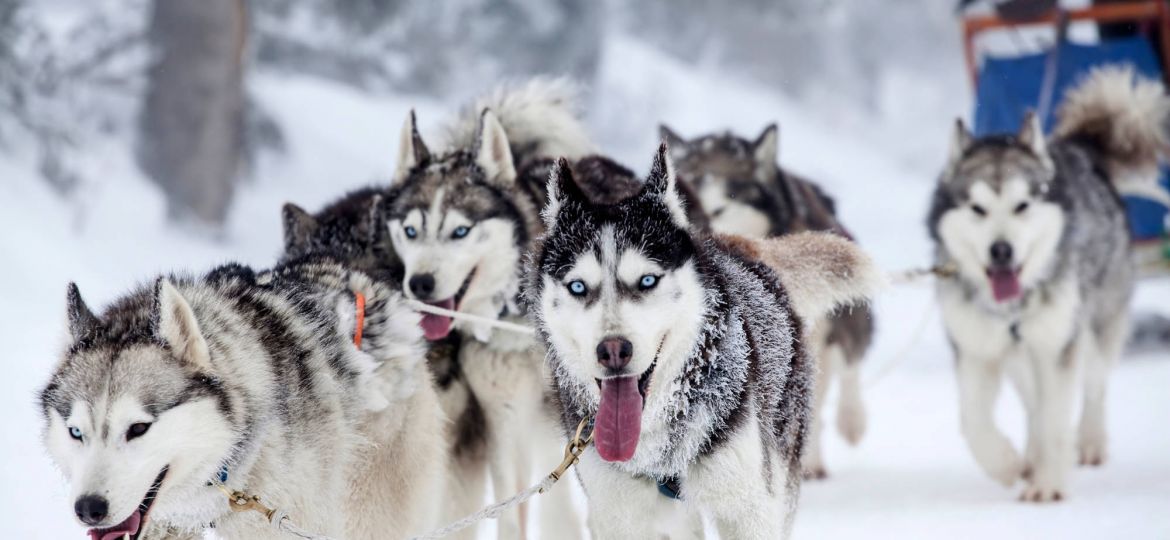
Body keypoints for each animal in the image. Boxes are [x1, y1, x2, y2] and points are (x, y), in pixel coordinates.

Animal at [926, 66, 1165, 502]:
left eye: (1022, 205)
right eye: (978, 209)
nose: (1001, 251)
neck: (1012, 310)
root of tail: (1083, 152)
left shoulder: (1057, 348)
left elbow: (1055, 419)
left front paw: (1049, 485)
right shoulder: (975, 350)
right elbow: (973, 421)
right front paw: (1007, 465)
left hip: (1091, 329)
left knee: (1094, 385)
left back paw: (1088, 442)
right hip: (1022, 358)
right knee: (1033, 405)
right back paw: (1033, 456)